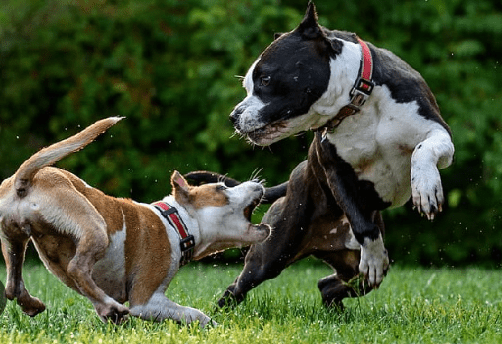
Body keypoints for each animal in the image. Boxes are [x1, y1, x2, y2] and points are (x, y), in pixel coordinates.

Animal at [0, 117, 270, 326]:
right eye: (221, 188)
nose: (258, 183)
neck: (176, 223)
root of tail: (23, 180)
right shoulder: (147, 300)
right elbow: (195, 314)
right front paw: (214, 327)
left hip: (14, 239)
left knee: (13, 285)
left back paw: (35, 304)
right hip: (94, 226)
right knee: (76, 267)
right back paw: (110, 306)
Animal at [190, 2, 452, 310]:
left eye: (265, 79)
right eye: (248, 86)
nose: (234, 116)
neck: (357, 102)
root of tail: (295, 175)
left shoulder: (438, 132)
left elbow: (423, 150)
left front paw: (426, 188)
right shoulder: (335, 171)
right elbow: (362, 225)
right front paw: (374, 255)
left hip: (350, 268)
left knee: (329, 285)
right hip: (272, 252)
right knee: (239, 286)